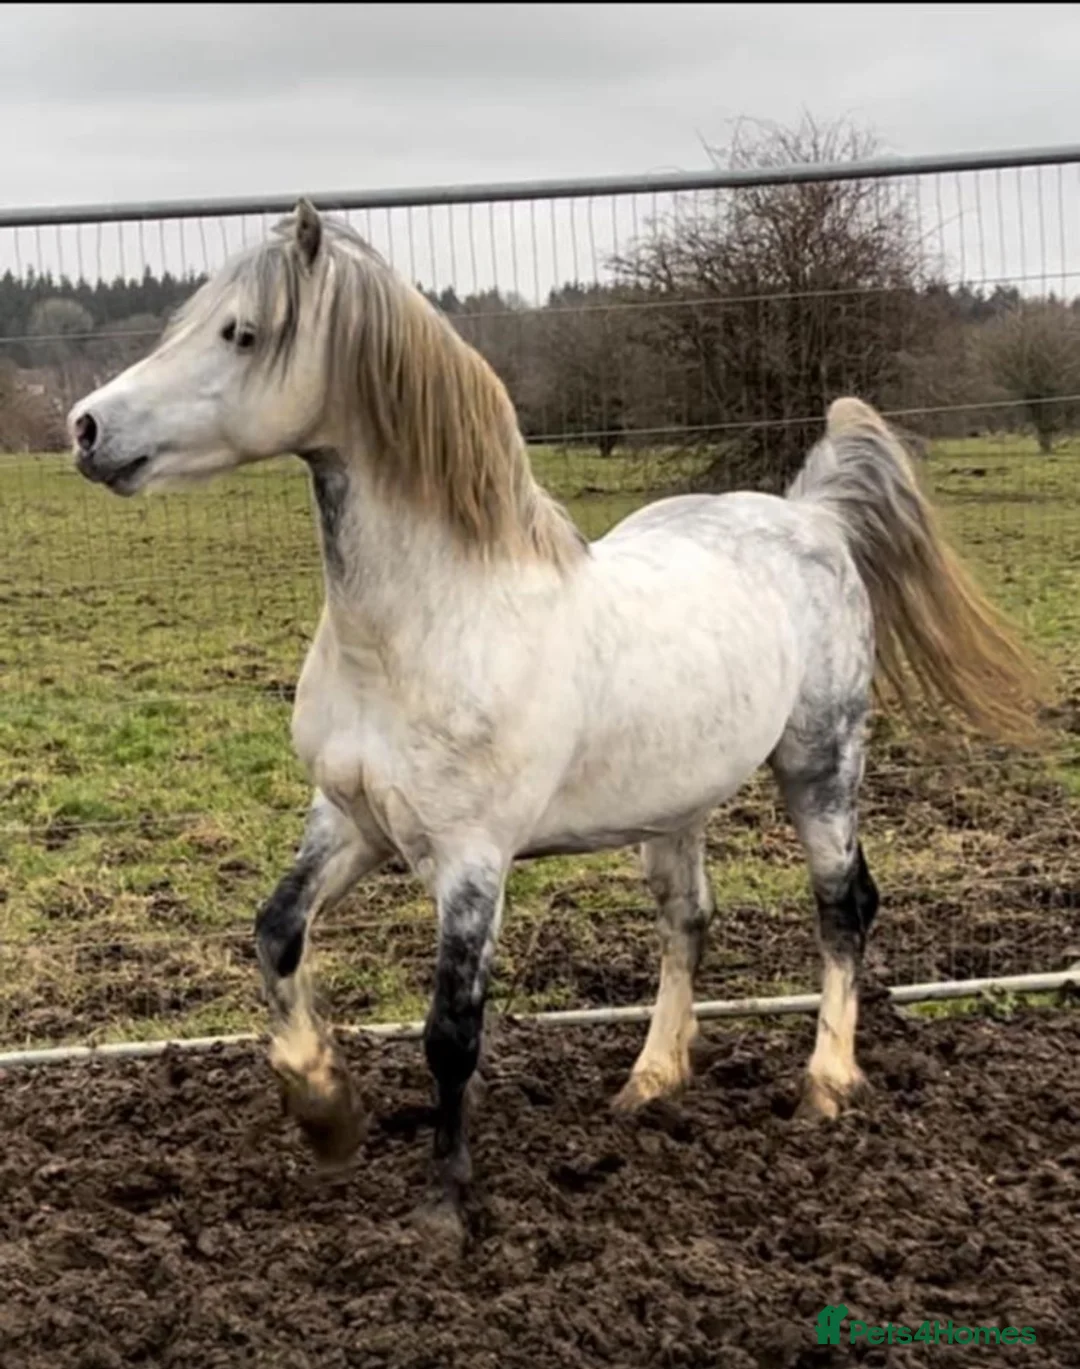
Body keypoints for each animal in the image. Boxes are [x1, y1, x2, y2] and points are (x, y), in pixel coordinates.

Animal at [67, 200, 1045, 1228]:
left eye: (242, 333)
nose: (86, 427)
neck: (429, 625)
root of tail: (811, 518)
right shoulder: (349, 820)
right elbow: (276, 933)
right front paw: (325, 1109)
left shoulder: (472, 859)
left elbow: (452, 1028)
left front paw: (443, 1205)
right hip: (676, 802)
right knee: (688, 919)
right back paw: (650, 1080)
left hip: (822, 766)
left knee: (843, 906)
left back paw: (825, 1083)